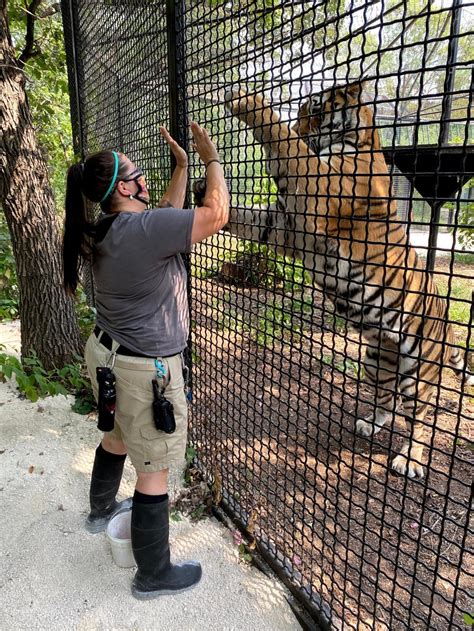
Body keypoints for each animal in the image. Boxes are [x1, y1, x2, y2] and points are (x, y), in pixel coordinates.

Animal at [223, 82, 474, 478]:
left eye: (313, 110)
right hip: (376, 360)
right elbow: (250, 217)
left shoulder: (315, 190)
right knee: (388, 400)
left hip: (418, 372)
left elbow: (284, 144)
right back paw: (369, 423)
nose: (301, 129)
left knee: (420, 419)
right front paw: (204, 195)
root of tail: (447, 320)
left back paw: (410, 460)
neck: (359, 138)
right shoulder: (287, 228)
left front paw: (246, 100)